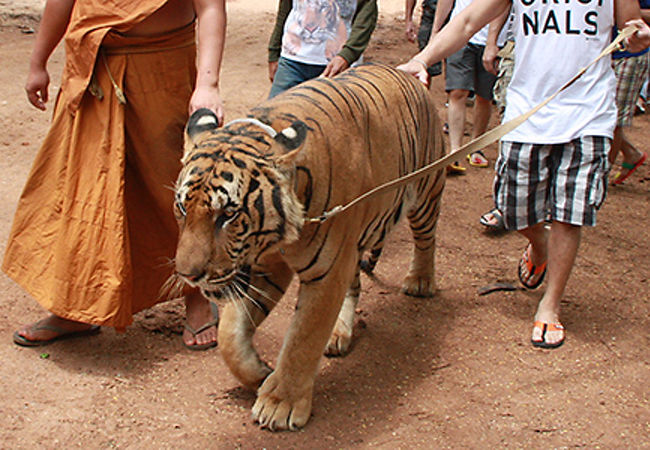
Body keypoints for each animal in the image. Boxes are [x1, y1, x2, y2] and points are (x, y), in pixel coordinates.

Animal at [172, 64, 446, 432]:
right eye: (183, 207)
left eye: (227, 214)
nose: (189, 275)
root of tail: (407, 73)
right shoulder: (266, 266)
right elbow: (230, 336)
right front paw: (259, 373)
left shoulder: (326, 271)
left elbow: (303, 338)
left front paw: (280, 403)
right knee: (354, 285)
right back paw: (339, 333)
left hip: (425, 193)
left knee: (426, 239)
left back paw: (420, 281)